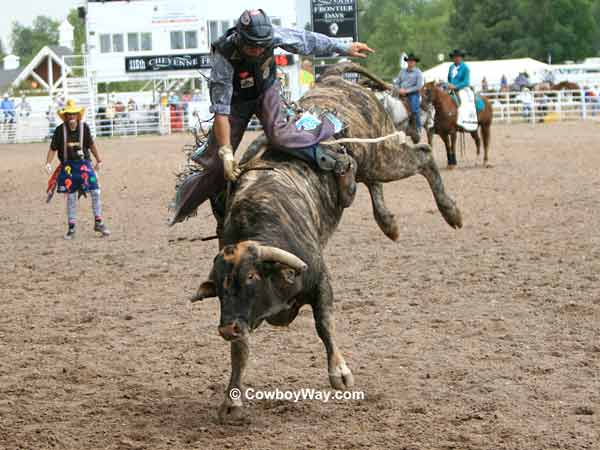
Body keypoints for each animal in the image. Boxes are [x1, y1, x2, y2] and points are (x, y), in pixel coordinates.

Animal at [190, 62, 462, 422]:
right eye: (220, 287)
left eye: (250, 276)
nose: (226, 329)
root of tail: (333, 78)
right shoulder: (243, 317)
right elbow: (241, 351)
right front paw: (232, 399)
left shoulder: (320, 280)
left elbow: (324, 324)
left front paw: (340, 372)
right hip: (371, 163)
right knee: (370, 181)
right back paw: (388, 222)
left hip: (380, 153)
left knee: (422, 155)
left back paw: (451, 211)